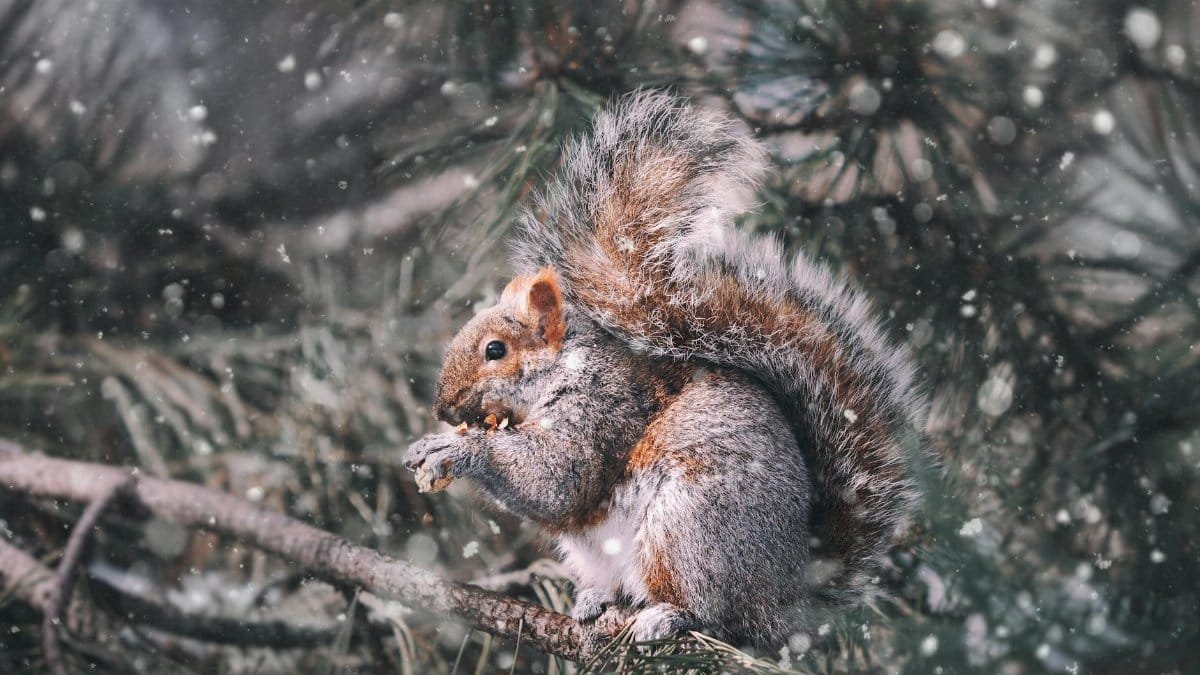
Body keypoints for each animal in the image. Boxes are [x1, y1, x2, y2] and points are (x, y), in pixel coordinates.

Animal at [404, 91, 926, 649]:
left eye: (495, 350)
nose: (442, 407)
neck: (564, 369)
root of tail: (791, 602)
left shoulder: (600, 409)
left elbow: (557, 480)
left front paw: (456, 449)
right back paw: (594, 600)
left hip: (689, 528)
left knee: (718, 615)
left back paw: (668, 616)